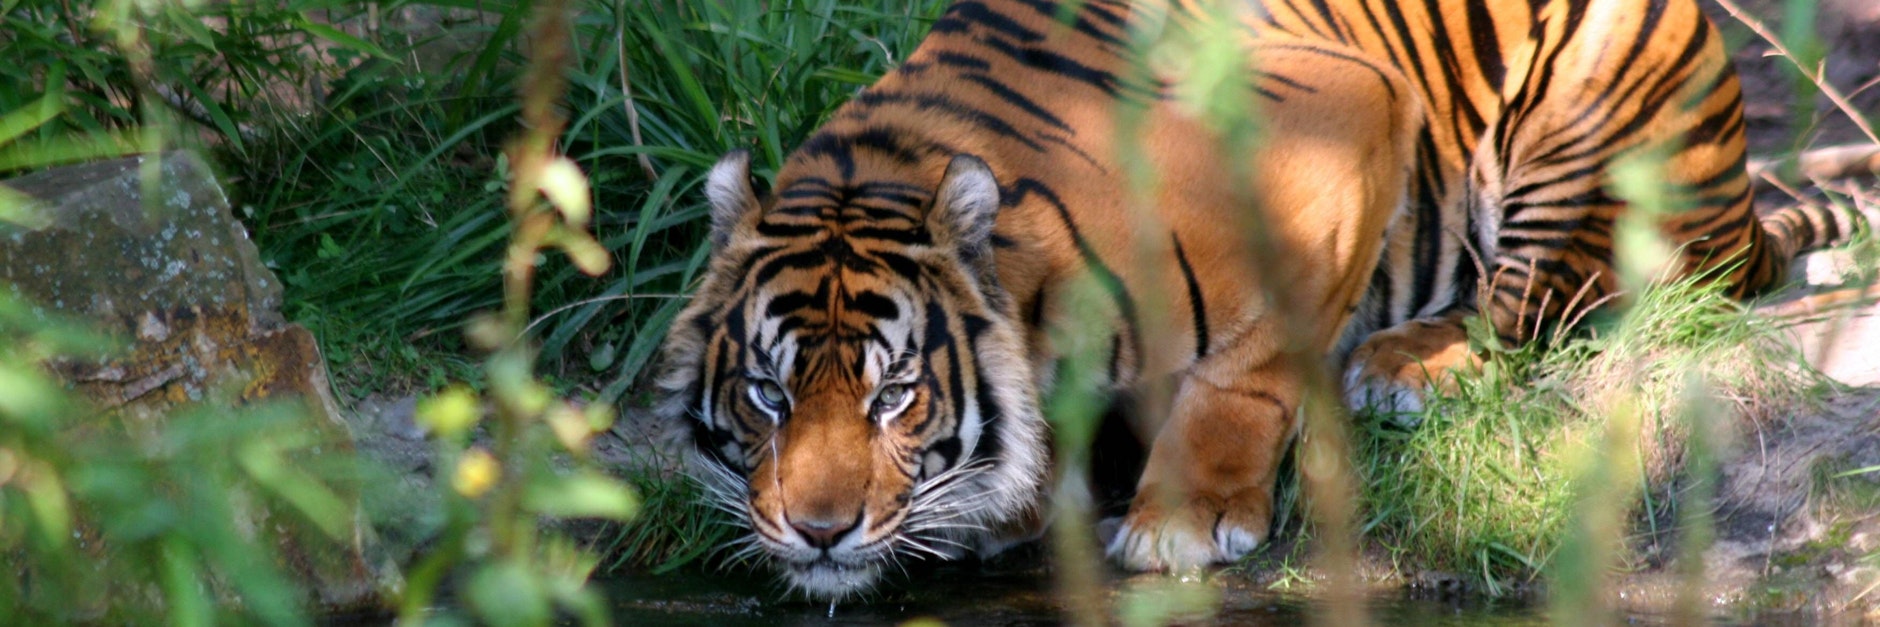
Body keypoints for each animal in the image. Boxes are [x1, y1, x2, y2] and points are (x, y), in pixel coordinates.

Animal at [652, 0, 1864, 597]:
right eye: (767, 396)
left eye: (893, 397)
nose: (818, 534)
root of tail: (1740, 194)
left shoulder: (1341, 113)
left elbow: (1251, 363)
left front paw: (1182, 523)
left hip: (1587, 134)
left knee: (1552, 302)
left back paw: (1402, 365)